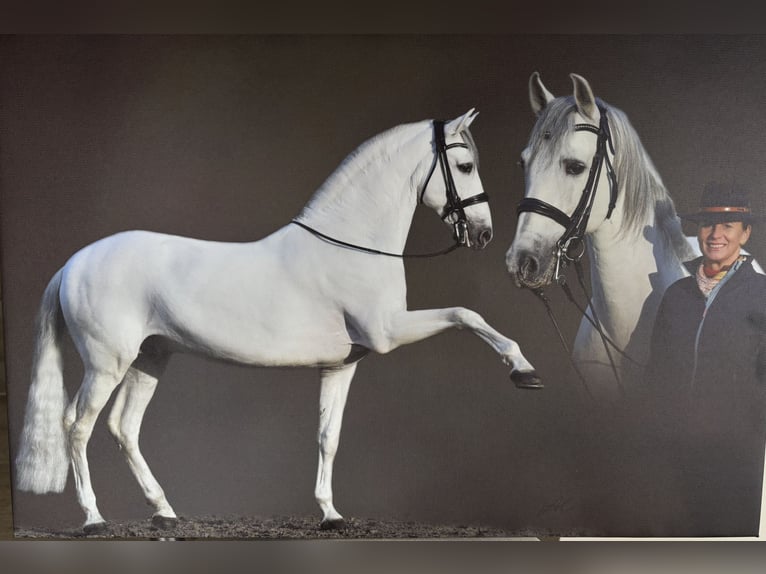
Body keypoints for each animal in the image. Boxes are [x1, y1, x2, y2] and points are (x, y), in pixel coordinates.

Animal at [15, 109, 540, 534]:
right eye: (465, 166)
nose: (484, 233)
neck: (352, 245)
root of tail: (75, 262)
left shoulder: (342, 365)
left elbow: (328, 437)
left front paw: (330, 514)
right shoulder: (388, 332)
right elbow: (466, 313)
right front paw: (524, 370)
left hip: (150, 359)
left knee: (124, 427)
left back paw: (164, 512)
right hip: (108, 364)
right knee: (77, 425)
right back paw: (94, 519)